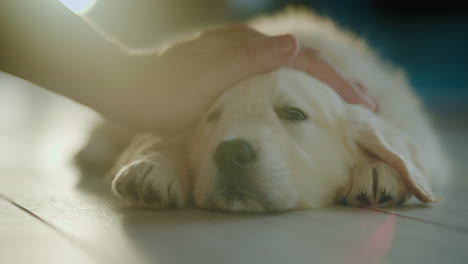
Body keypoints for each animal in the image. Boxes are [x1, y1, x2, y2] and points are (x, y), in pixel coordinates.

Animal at [78, 8, 448, 212]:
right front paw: (152, 166)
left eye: (293, 114)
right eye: (212, 117)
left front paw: (376, 169)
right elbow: (159, 136)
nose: (231, 152)